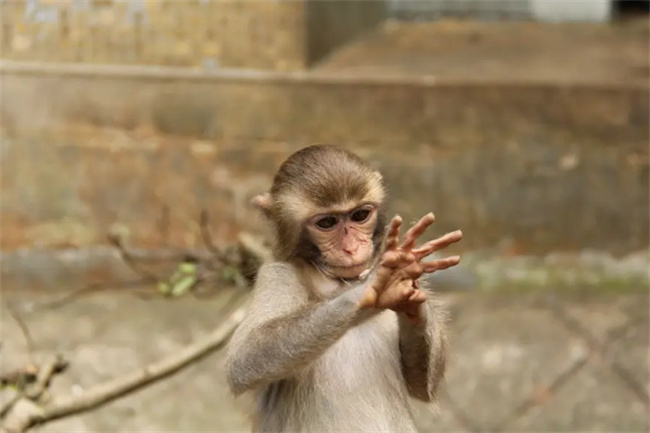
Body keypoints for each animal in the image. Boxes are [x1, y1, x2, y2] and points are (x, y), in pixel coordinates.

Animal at [225, 143, 464, 430]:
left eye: (360, 215)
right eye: (327, 223)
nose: (352, 249)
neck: (335, 279)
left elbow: (421, 386)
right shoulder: (276, 271)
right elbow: (246, 358)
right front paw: (371, 288)